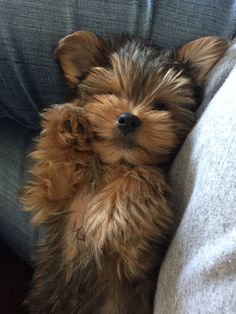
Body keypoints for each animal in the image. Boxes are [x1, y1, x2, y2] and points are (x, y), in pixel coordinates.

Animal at [21, 30, 228, 314]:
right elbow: (57, 171)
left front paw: (110, 215)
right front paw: (69, 124)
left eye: (161, 106)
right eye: (109, 93)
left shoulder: (137, 258)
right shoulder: (56, 197)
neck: (115, 165)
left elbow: (144, 174)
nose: (129, 119)